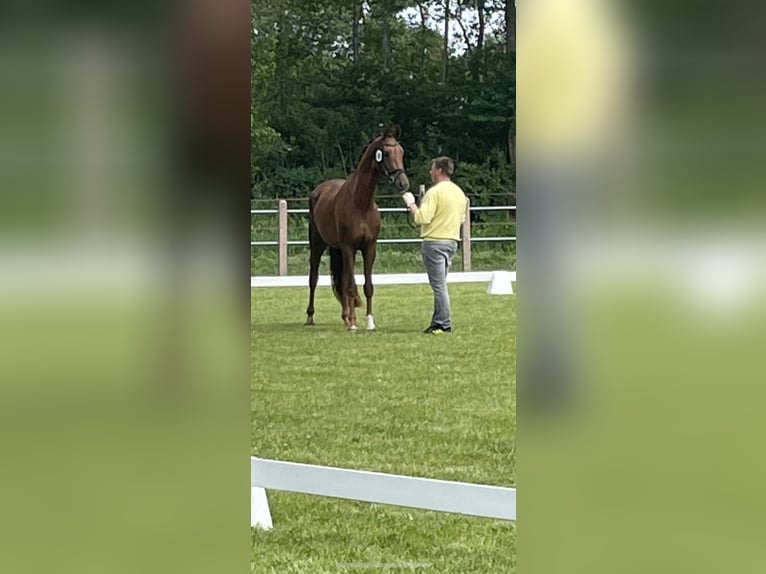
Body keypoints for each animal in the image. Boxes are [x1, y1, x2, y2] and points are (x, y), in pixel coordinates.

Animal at [306, 127, 414, 330]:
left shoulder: (369, 248)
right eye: (386, 153)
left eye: (401, 152)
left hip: (337, 249)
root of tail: (319, 191)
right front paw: (353, 324)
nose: (403, 183)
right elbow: (351, 286)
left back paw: (345, 316)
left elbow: (366, 286)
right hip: (318, 245)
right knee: (314, 279)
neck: (361, 204)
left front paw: (369, 322)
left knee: (342, 279)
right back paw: (311, 317)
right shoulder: (349, 248)